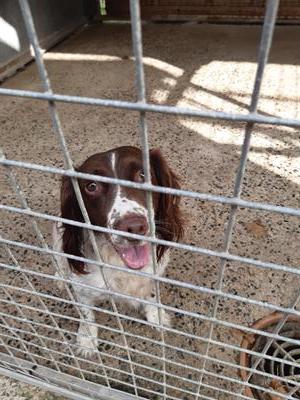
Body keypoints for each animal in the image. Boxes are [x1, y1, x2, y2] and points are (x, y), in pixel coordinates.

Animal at [52, 146, 182, 356]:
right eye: (92, 186)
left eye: (143, 175)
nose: (134, 227)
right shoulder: (82, 288)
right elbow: (86, 315)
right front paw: (86, 339)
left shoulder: (153, 274)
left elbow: (151, 295)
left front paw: (156, 316)